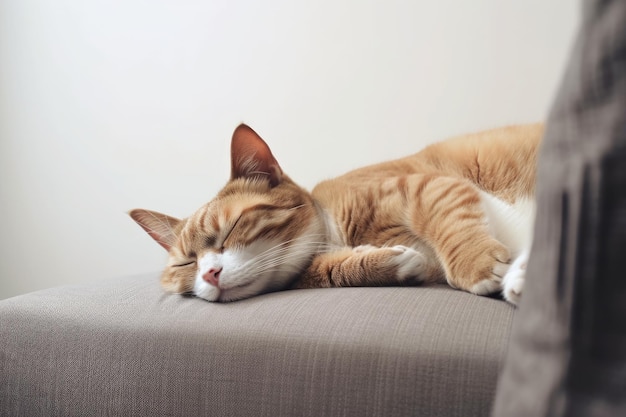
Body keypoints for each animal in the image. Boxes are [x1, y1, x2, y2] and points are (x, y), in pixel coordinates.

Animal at [129, 122, 540, 302]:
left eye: (231, 228)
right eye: (186, 263)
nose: (209, 274)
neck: (336, 233)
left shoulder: (426, 186)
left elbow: (448, 217)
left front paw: (476, 265)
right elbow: (328, 272)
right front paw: (385, 262)